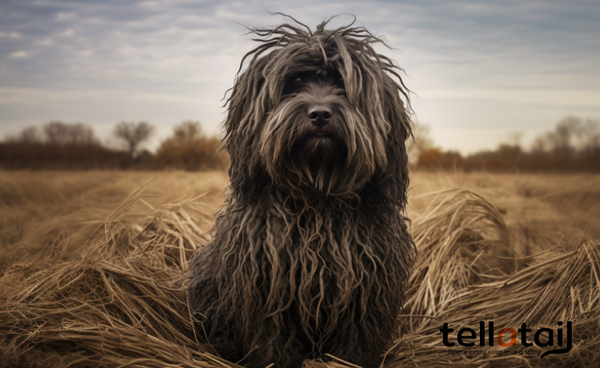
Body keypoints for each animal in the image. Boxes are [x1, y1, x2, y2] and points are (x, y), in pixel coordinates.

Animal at [190, 16, 414, 368]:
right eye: (294, 81)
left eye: (342, 83)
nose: (320, 113)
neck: (317, 196)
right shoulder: (268, 288)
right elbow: (273, 341)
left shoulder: (366, 291)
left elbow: (356, 341)